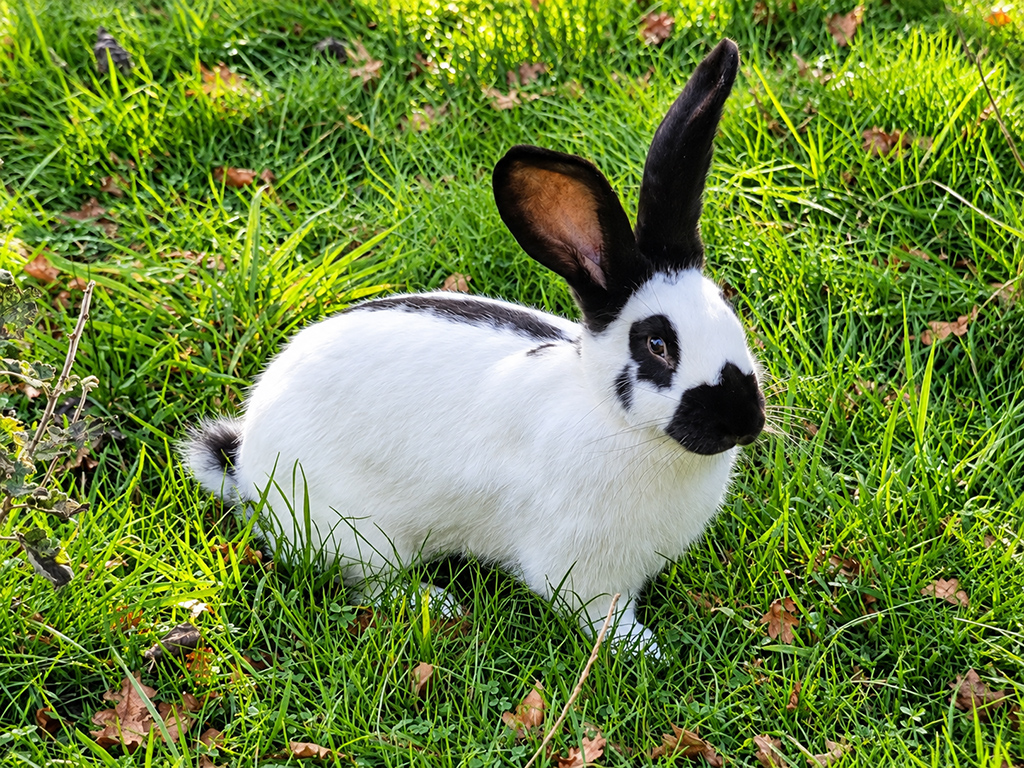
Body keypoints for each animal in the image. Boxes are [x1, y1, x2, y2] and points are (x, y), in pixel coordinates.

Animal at [185, 39, 763, 653]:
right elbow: (599, 614)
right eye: (656, 344)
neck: (617, 423)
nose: (743, 421)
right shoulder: (578, 569)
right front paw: (644, 650)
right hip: (357, 531)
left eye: (728, 310)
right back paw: (438, 603)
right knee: (371, 582)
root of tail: (248, 463)